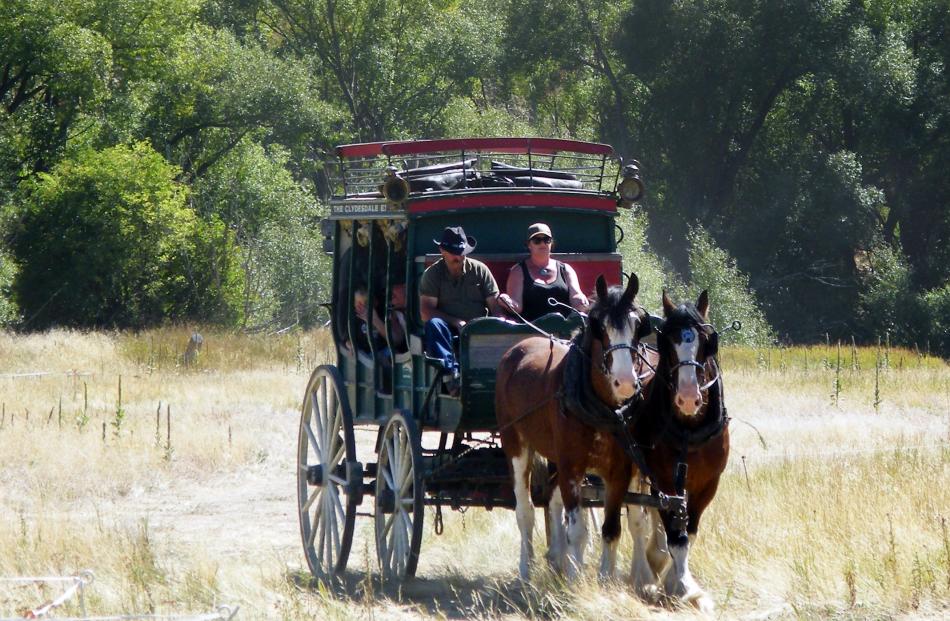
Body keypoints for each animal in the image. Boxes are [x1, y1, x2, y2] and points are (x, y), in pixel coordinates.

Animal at [494, 274, 652, 580]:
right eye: (599, 326)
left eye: (638, 324)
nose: (626, 382)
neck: (602, 407)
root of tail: (517, 349)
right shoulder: (571, 467)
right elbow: (576, 530)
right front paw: (576, 579)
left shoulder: (619, 472)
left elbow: (611, 529)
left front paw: (604, 580)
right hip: (515, 444)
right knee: (525, 510)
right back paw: (526, 569)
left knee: (553, 501)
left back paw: (557, 559)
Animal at [628, 290, 732, 612]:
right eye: (666, 342)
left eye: (707, 340)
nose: (687, 398)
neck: (688, 428)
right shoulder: (661, 478)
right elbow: (677, 536)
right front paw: (683, 588)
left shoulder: (707, 483)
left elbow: (690, 532)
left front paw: (677, 579)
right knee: (636, 519)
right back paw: (642, 574)